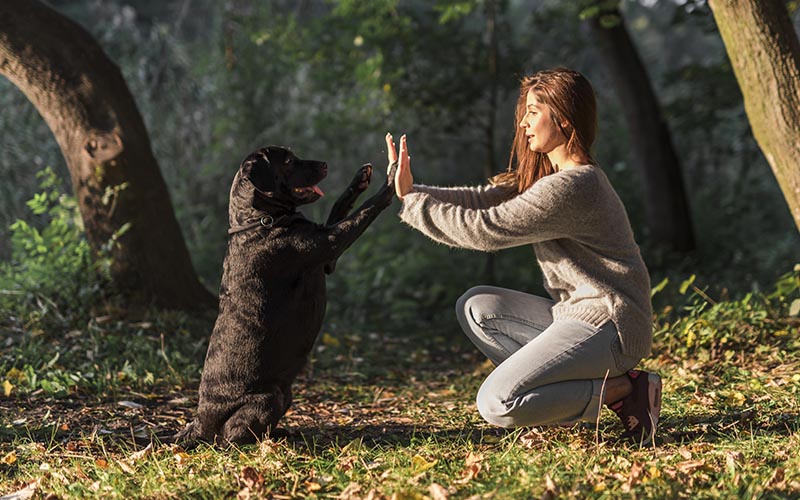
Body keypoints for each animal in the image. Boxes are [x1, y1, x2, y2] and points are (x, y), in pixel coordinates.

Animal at [177, 146, 396, 446]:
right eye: (290, 161)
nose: (324, 164)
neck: (260, 221)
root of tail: (199, 423)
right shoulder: (330, 243)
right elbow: (364, 211)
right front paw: (392, 181)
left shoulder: (328, 260)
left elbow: (340, 206)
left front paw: (360, 179)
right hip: (269, 398)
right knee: (230, 437)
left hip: (285, 395)